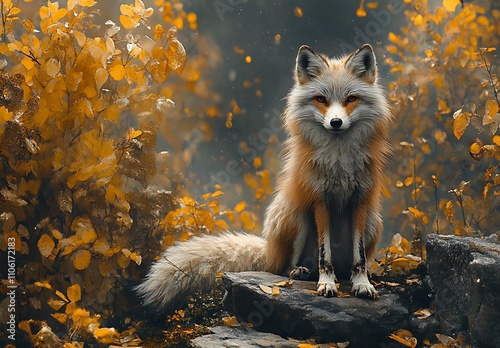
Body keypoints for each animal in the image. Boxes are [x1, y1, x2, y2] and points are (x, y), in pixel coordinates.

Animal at [135, 44, 392, 310]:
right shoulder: (320, 199)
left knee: (347, 264)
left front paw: (362, 284)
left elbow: (359, 257)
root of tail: (268, 250)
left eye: (351, 98)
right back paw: (301, 272)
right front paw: (326, 284)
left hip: (372, 222)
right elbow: (325, 255)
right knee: (283, 268)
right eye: (321, 99)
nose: (336, 122)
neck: (340, 162)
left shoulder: (360, 200)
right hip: (297, 217)